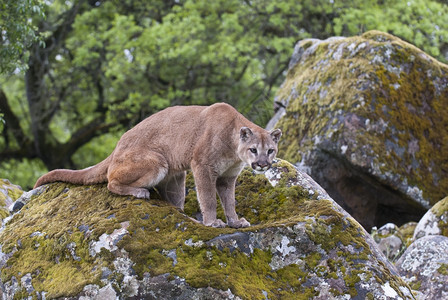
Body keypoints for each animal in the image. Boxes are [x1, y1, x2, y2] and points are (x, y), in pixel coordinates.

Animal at [34, 103, 280, 227]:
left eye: (270, 150)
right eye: (253, 149)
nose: (262, 164)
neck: (233, 147)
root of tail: (117, 146)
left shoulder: (227, 178)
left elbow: (229, 201)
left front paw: (235, 221)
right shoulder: (202, 166)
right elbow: (209, 198)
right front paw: (213, 222)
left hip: (176, 176)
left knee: (175, 204)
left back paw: (186, 216)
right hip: (157, 162)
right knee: (111, 182)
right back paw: (140, 192)